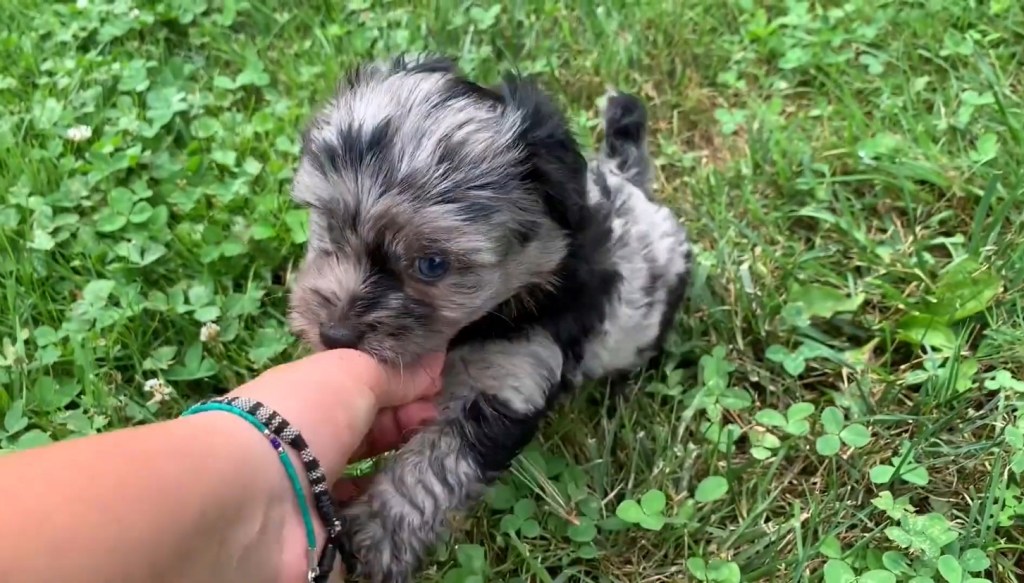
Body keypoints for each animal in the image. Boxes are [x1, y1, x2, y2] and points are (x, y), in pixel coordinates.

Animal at [284, 54, 692, 581]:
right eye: (330, 225)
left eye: (432, 265)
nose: (334, 334)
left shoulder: (509, 377)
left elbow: (435, 466)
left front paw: (375, 535)